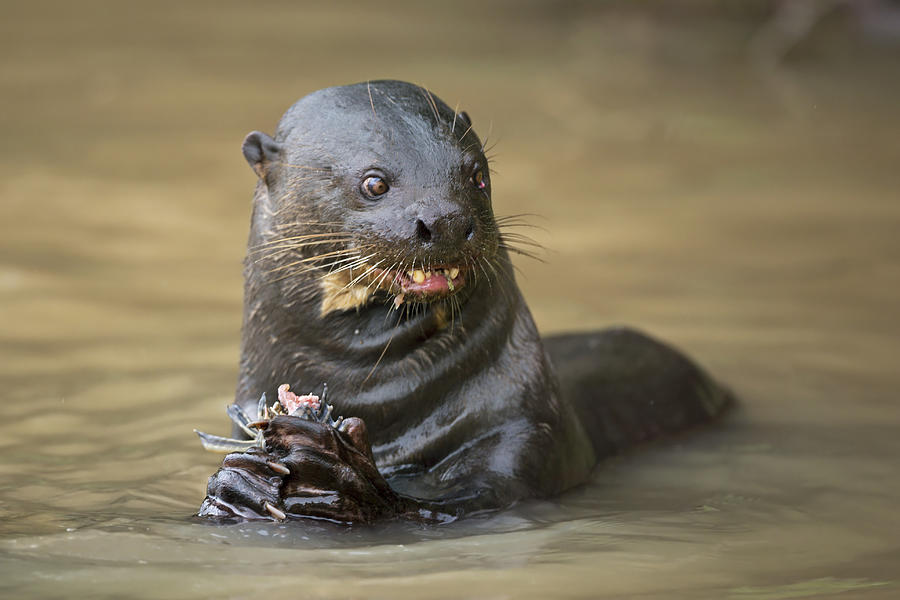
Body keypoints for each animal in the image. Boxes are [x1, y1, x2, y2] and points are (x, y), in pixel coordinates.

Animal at [199, 81, 732, 524]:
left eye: (477, 174)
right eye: (375, 182)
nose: (447, 219)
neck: (374, 395)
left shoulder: (526, 431)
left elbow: (450, 505)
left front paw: (334, 479)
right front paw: (242, 485)